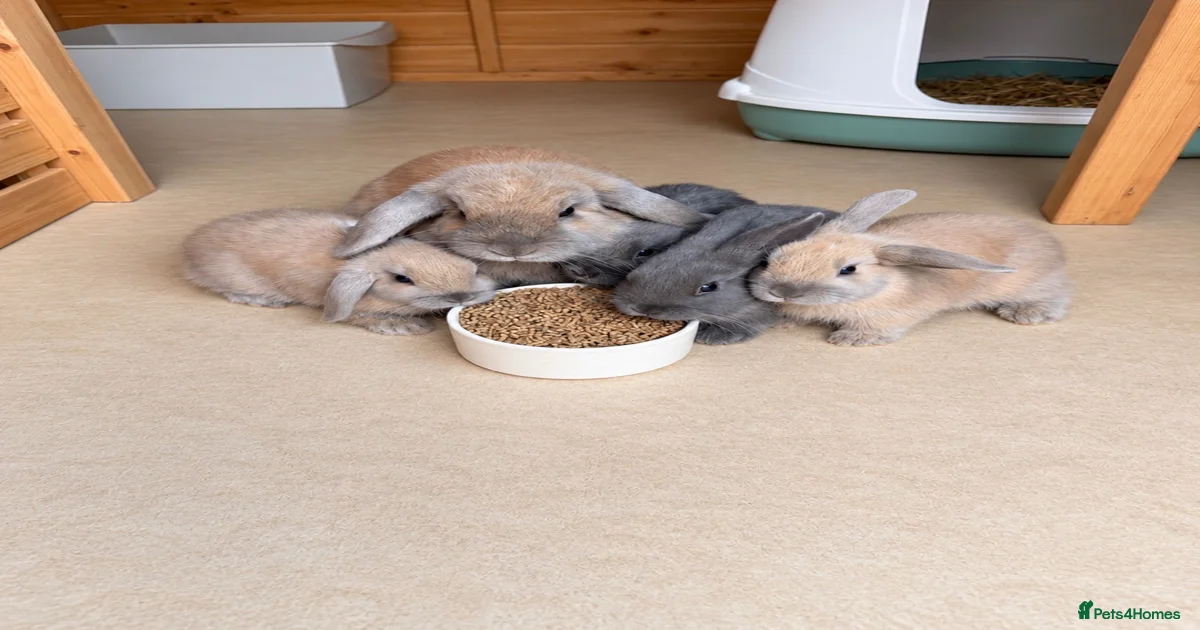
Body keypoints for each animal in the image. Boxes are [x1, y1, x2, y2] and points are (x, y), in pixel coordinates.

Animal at [748, 189, 1073, 346]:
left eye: (848, 270)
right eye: (774, 256)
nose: (781, 291)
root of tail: (1052, 244)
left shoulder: (890, 315)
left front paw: (851, 339)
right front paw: (785, 321)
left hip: (1034, 284)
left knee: (1058, 297)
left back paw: (1026, 314)